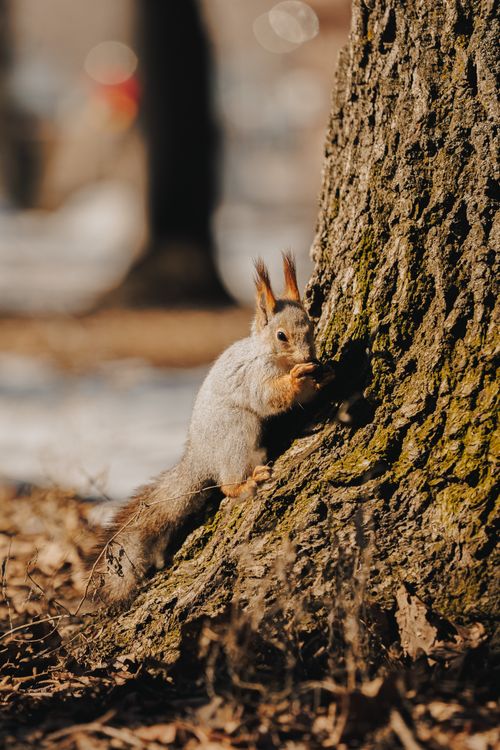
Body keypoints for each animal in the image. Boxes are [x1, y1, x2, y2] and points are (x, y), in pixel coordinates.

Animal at [92, 253, 329, 604]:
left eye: (311, 326)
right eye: (281, 336)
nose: (308, 357)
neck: (267, 355)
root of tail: (199, 458)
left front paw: (323, 375)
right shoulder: (254, 377)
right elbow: (269, 397)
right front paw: (298, 379)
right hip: (235, 433)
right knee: (226, 486)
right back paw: (245, 484)